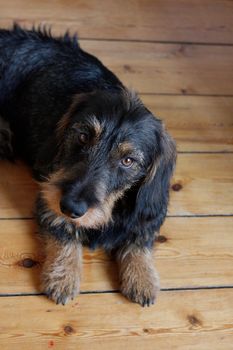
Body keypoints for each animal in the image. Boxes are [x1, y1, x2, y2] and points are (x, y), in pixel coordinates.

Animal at [0, 25, 175, 306]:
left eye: (128, 160)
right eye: (83, 136)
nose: (72, 207)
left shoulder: (150, 211)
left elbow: (141, 239)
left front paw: (143, 279)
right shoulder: (49, 194)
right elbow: (63, 231)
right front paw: (63, 276)